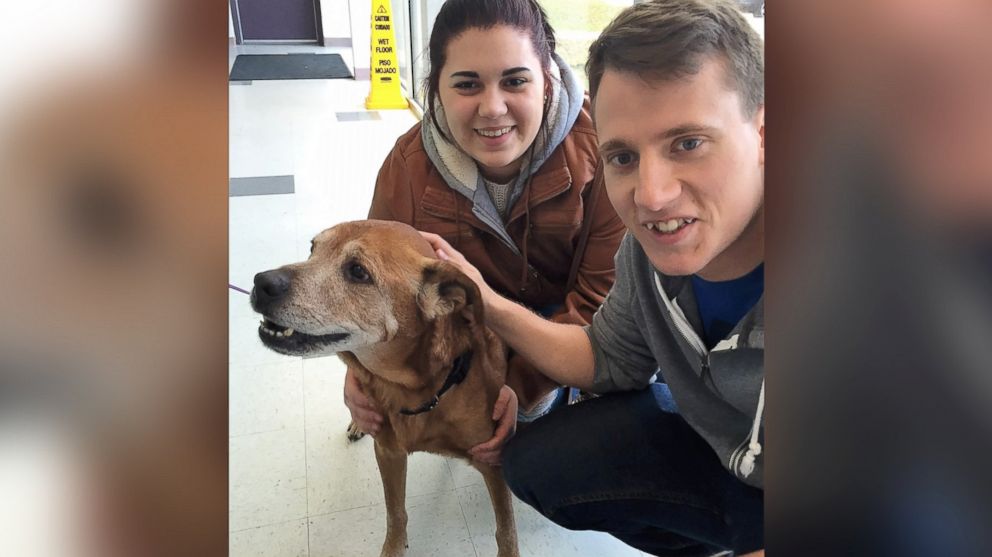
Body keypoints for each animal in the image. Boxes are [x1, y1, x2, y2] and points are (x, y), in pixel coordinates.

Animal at [250, 219, 520, 552]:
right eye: (313, 248)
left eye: (357, 271)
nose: (260, 282)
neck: (415, 391)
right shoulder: (389, 453)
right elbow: (396, 513)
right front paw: (393, 547)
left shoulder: (492, 462)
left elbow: (505, 530)